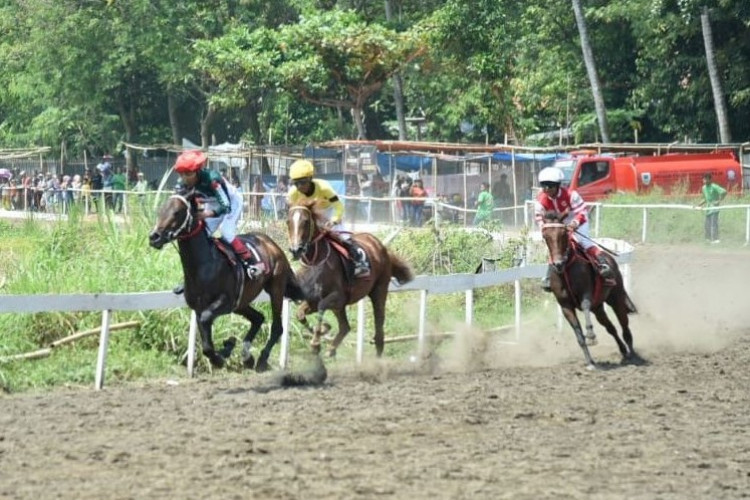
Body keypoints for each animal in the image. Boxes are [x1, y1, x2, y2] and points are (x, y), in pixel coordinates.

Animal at [149, 189, 306, 374]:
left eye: (177, 212)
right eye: (160, 210)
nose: (154, 237)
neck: (203, 266)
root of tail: (271, 244)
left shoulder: (225, 301)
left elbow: (206, 322)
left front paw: (221, 355)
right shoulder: (199, 307)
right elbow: (206, 339)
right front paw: (227, 347)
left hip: (276, 289)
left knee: (277, 327)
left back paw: (261, 359)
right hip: (241, 302)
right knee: (258, 318)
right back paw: (247, 357)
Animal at [288, 197, 418, 358]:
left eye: (306, 221)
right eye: (288, 221)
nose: (296, 250)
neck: (315, 261)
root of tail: (380, 245)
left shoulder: (338, 296)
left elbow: (321, 306)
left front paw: (316, 343)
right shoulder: (313, 299)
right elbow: (300, 315)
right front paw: (323, 331)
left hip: (379, 290)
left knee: (379, 326)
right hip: (340, 307)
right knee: (345, 327)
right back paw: (331, 350)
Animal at [540, 209, 640, 370]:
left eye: (563, 234)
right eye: (545, 236)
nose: (558, 263)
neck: (566, 268)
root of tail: (610, 258)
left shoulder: (586, 294)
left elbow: (584, 305)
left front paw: (591, 335)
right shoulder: (565, 306)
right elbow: (579, 335)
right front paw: (590, 362)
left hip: (616, 297)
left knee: (624, 325)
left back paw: (633, 354)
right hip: (598, 307)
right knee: (611, 327)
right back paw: (624, 351)